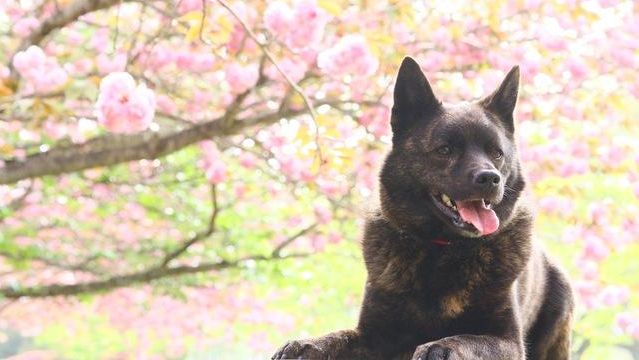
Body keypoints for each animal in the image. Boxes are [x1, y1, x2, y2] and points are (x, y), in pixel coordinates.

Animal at [272, 56, 572, 360]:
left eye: (496, 153)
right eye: (445, 150)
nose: (490, 178)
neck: (442, 247)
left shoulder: (507, 340)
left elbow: (467, 339)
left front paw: (440, 345)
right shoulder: (373, 335)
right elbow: (337, 337)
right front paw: (307, 344)